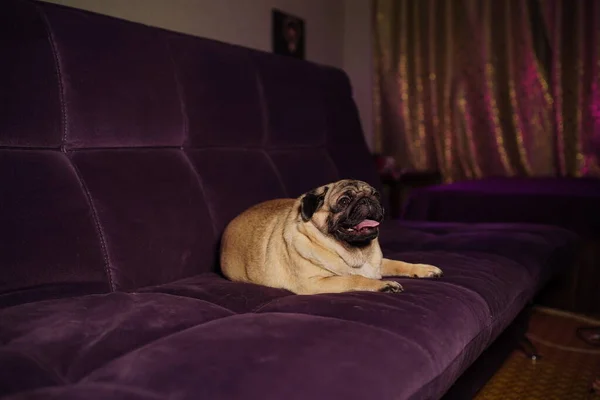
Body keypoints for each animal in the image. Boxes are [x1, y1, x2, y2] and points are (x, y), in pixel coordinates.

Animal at [220, 178, 440, 294]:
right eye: (344, 201)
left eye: (376, 195)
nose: (367, 200)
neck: (355, 253)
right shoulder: (315, 282)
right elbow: (354, 279)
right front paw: (383, 285)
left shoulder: (378, 263)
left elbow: (399, 263)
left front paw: (424, 269)